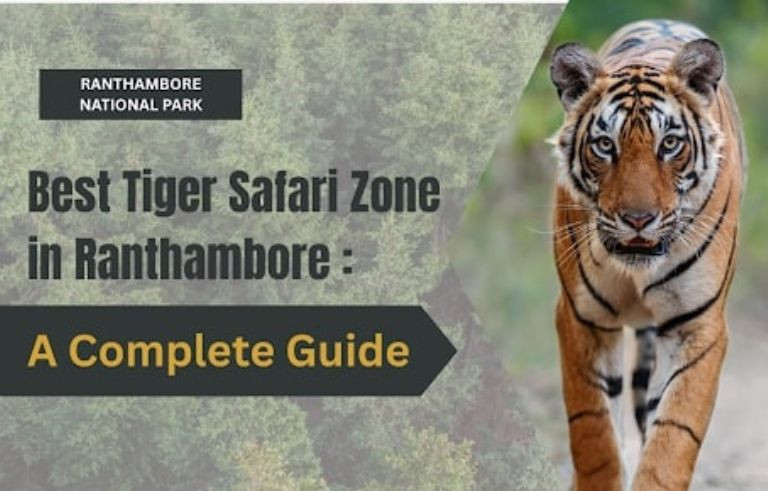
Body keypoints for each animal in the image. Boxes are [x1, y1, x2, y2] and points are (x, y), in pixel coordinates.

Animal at [548, 20, 745, 490]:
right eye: (604, 145)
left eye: (670, 143)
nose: (638, 219)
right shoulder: (582, 318)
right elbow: (593, 431)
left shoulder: (697, 326)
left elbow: (674, 435)